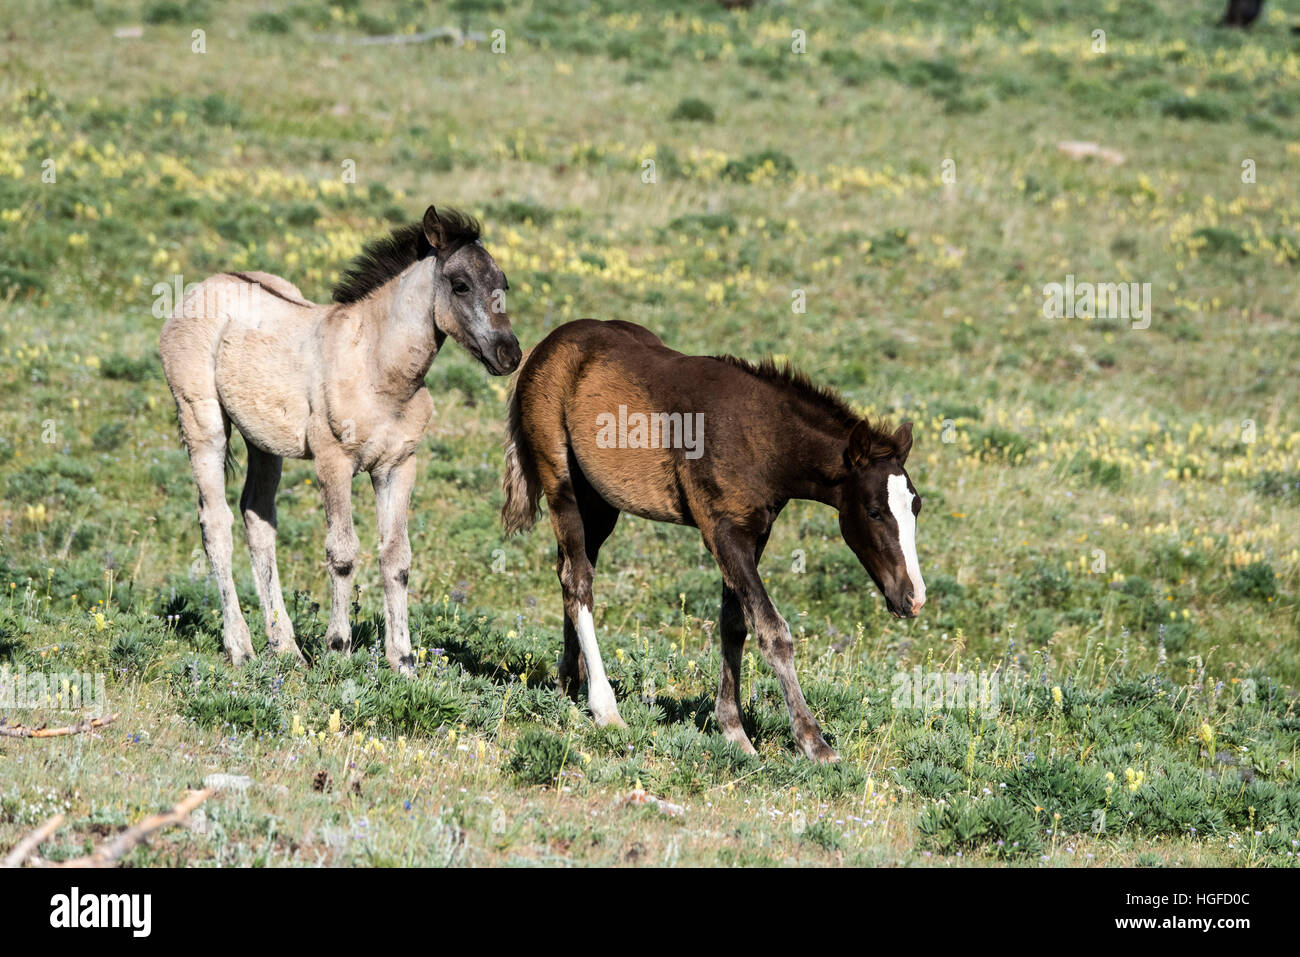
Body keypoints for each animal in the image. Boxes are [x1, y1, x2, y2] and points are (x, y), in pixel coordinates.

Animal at [161, 205, 520, 672]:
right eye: (460, 285)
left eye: (503, 284)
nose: (510, 355)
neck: (378, 369)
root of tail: (201, 287)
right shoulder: (334, 461)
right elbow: (343, 552)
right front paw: (338, 648)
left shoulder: (398, 466)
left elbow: (397, 558)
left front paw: (403, 660)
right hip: (202, 423)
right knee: (215, 522)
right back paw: (240, 647)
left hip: (263, 442)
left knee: (257, 518)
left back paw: (286, 648)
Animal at [501, 319, 925, 762]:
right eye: (874, 511)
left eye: (917, 506)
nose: (913, 598)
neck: (760, 435)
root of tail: (546, 344)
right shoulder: (723, 533)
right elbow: (773, 631)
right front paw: (814, 742)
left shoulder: (752, 536)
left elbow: (734, 624)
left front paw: (734, 732)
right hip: (560, 482)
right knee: (579, 579)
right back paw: (605, 709)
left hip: (598, 502)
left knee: (570, 570)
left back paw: (569, 684)